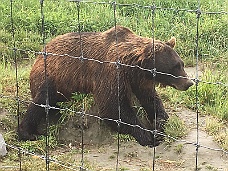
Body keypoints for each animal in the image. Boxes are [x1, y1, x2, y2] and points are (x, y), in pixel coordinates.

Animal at [17, 25, 193, 147]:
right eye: (175, 67)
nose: (189, 83)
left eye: (181, 64)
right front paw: (147, 136)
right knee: (42, 101)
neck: (133, 67)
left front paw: (159, 126)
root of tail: (41, 52)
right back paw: (28, 133)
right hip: (53, 78)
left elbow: (151, 100)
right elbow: (113, 107)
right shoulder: (110, 73)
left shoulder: (140, 80)